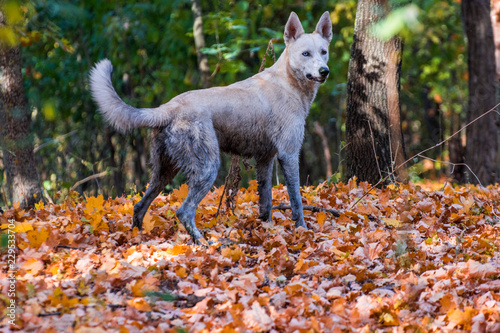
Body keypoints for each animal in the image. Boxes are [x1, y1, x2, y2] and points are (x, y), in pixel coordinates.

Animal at [90, 11, 332, 243]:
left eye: (323, 51)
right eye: (306, 54)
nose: (324, 71)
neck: (288, 82)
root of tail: (168, 107)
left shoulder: (265, 160)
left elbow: (266, 204)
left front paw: (267, 232)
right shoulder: (288, 155)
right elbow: (296, 201)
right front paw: (302, 231)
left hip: (164, 172)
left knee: (140, 206)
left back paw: (137, 238)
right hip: (208, 168)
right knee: (184, 211)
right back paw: (205, 243)